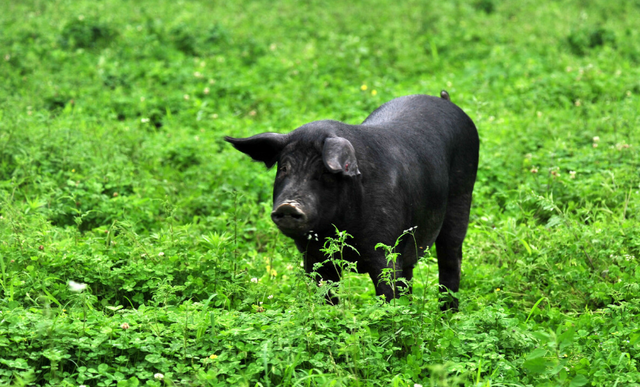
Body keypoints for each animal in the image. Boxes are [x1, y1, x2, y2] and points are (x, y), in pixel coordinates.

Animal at [228, 91, 478, 310]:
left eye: (325, 172)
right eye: (284, 168)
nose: (288, 205)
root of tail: (447, 101)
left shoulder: (385, 249)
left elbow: (387, 295)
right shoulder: (314, 258)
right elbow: (326, 297)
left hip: (462, 196)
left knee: (450, 260)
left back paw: (448, 314)